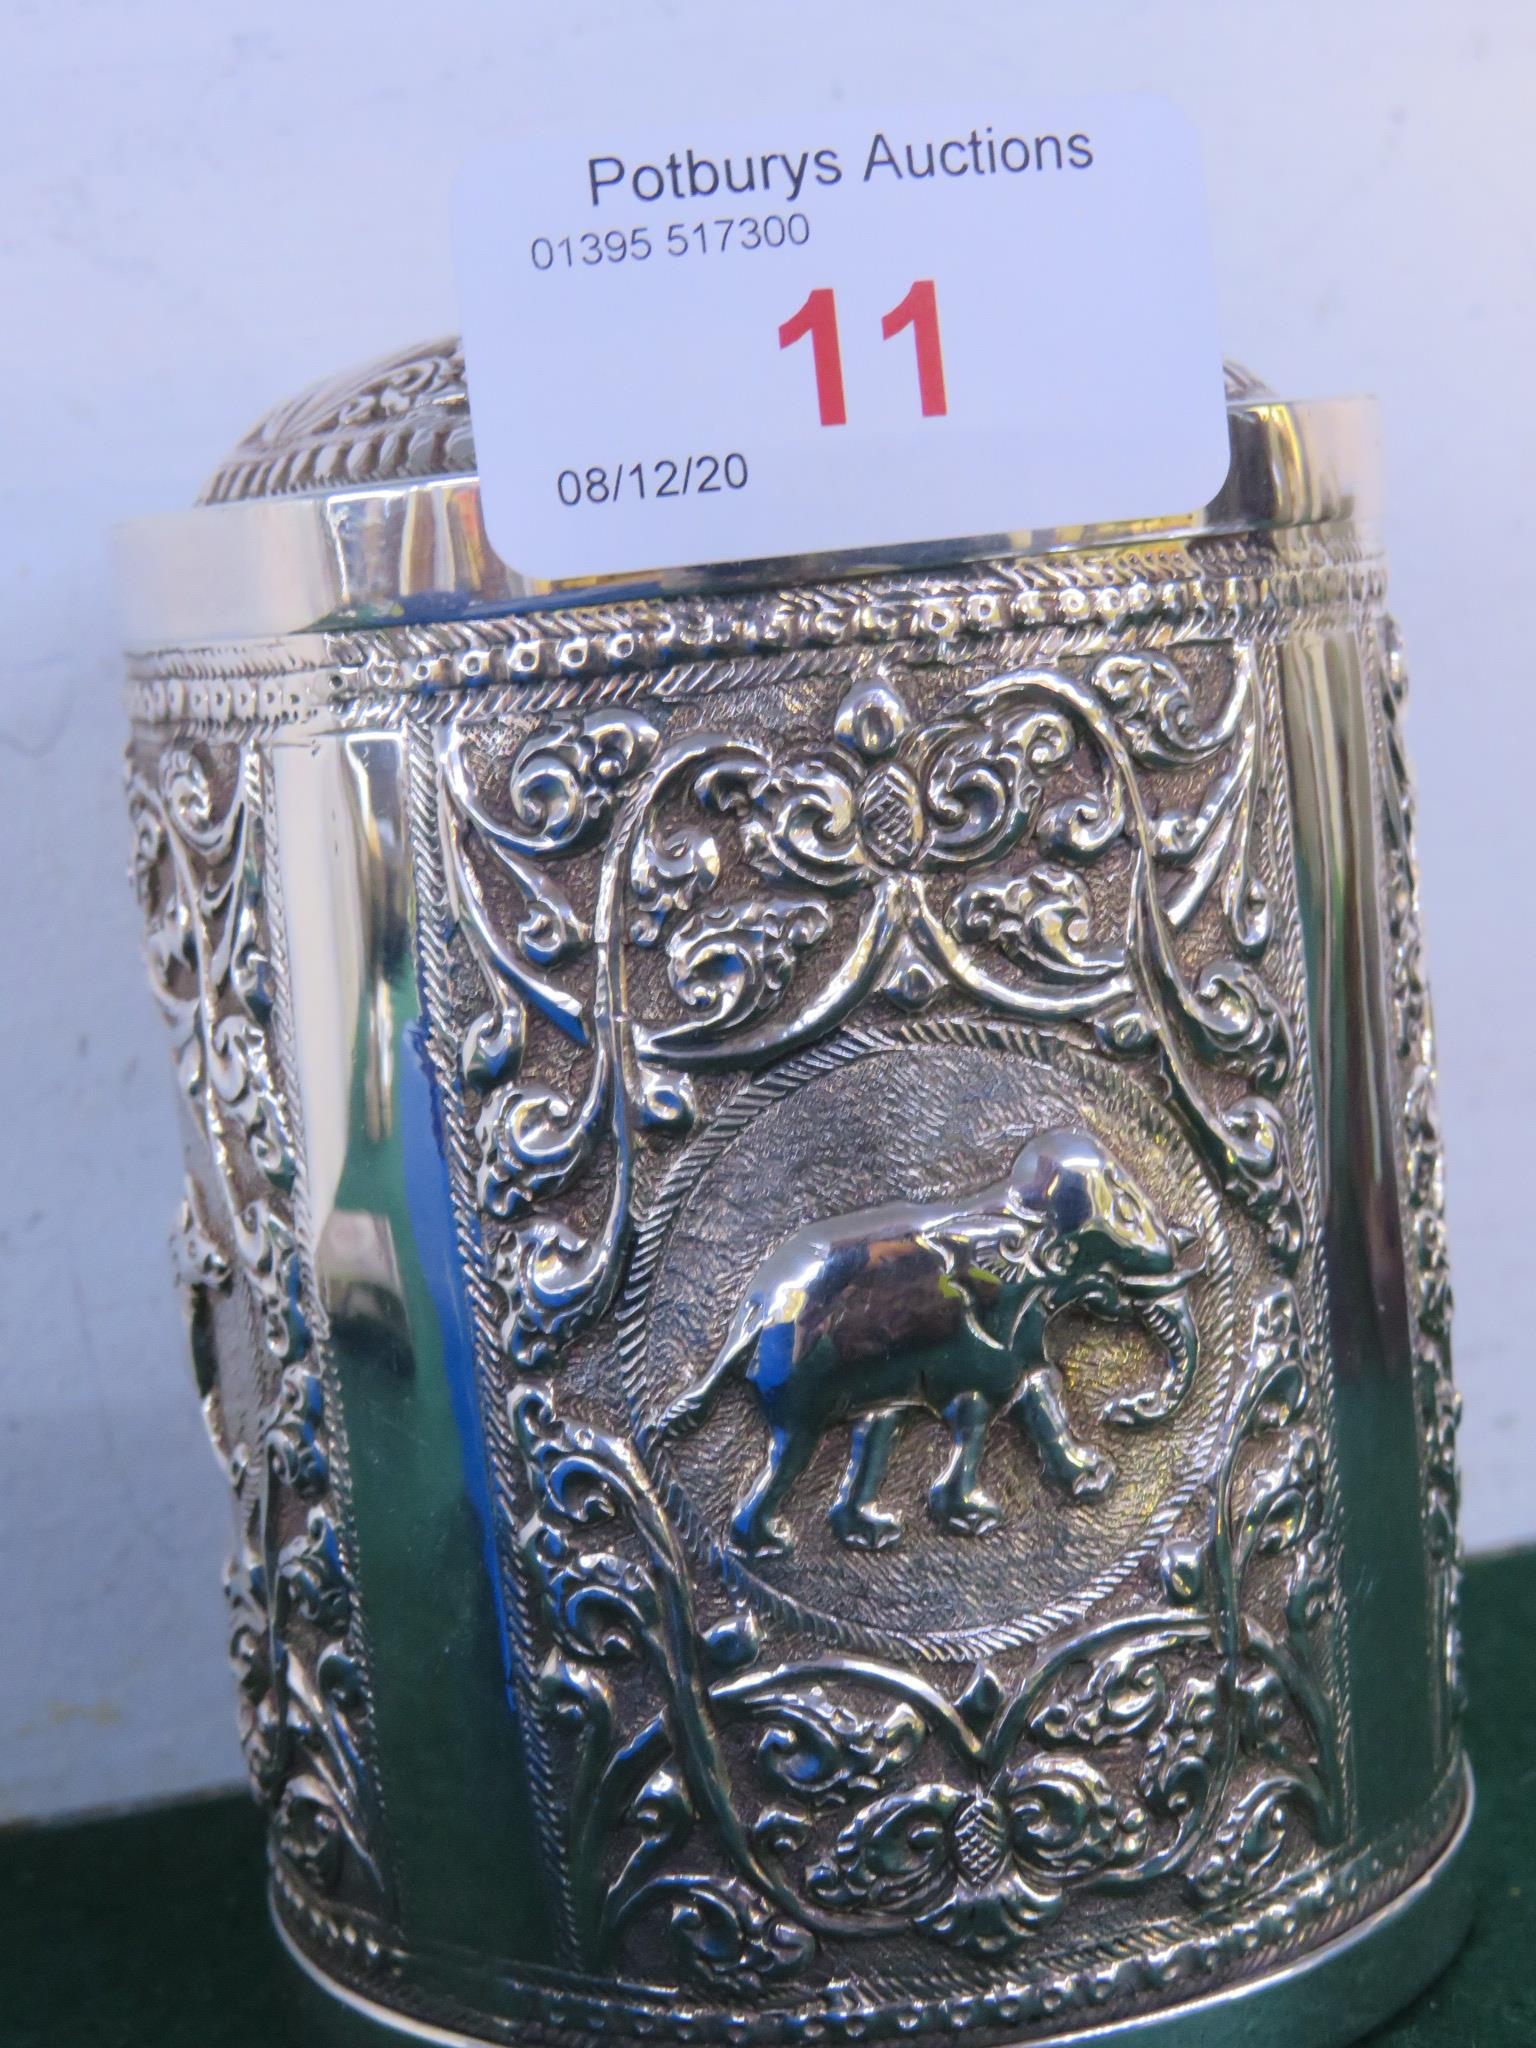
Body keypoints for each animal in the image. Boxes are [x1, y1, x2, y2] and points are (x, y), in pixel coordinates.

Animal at [655, 1138, 1212, 1548]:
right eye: (1121, 1220)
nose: (1122, 1411)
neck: (999, 1203)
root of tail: (754, 1308)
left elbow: (1036, 1383)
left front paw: (1092, 1479)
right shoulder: (967, 1333)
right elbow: (976, 1407)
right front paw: (973, 1519)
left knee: (876, 1426)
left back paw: (869, 1533)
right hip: (796, 1378)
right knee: (794, 1448)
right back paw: (768, 1543)